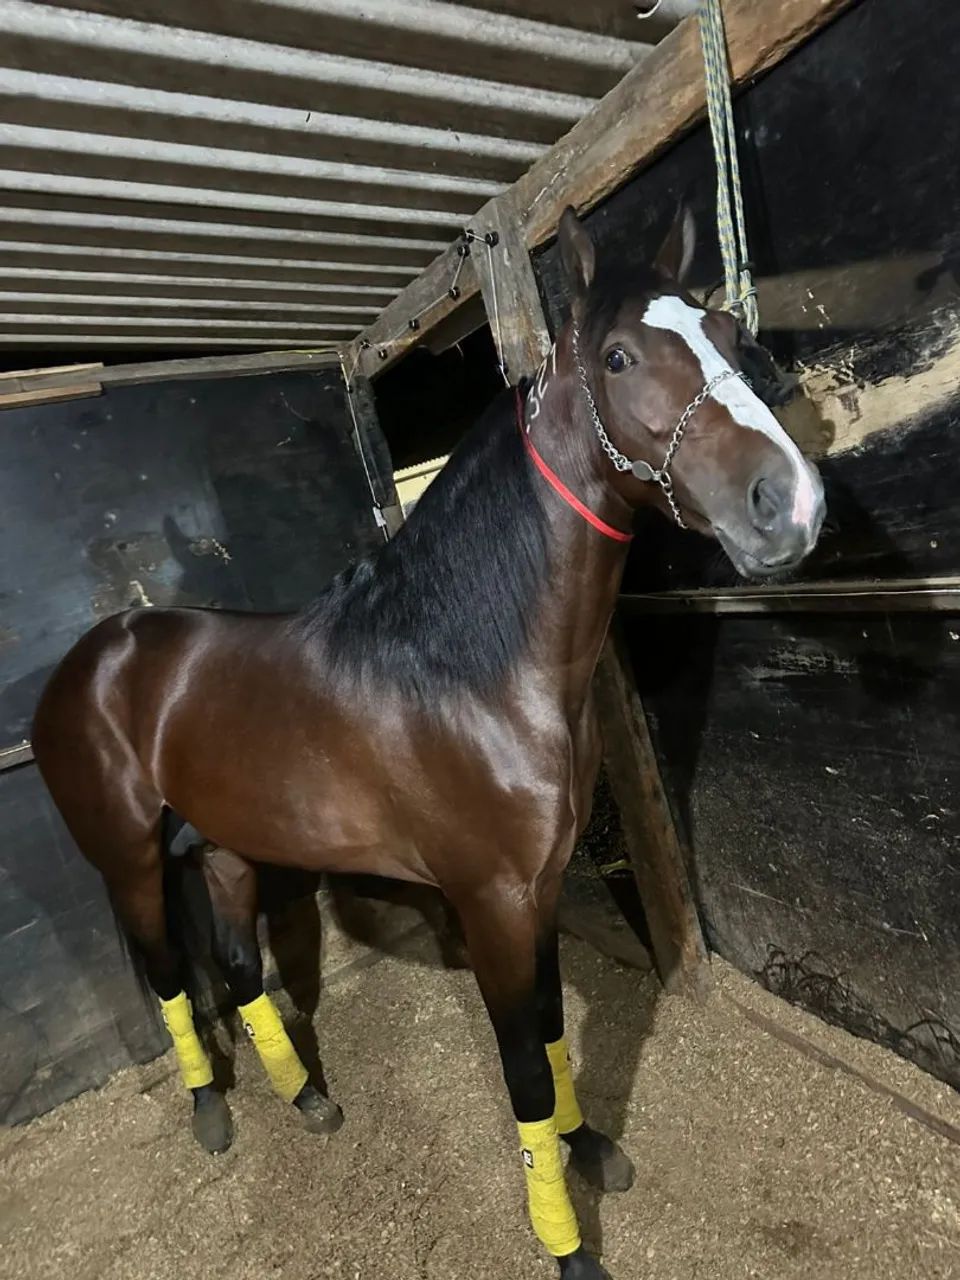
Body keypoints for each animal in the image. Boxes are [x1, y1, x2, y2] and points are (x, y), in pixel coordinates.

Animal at [31, 205, 825, 1280]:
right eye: (619, 357)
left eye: (731, 336)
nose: (790, 503)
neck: (473, 674)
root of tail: (91, 659)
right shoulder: (488, 901)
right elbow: (523, 1069)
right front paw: (567, 1243)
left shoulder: (537, 890)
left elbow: (552, 1034)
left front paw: (590, 1148)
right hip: (131, 861)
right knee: (166, 977)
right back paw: (210, 1113)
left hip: (230, 846)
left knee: (237, 968)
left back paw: (307, 1096)